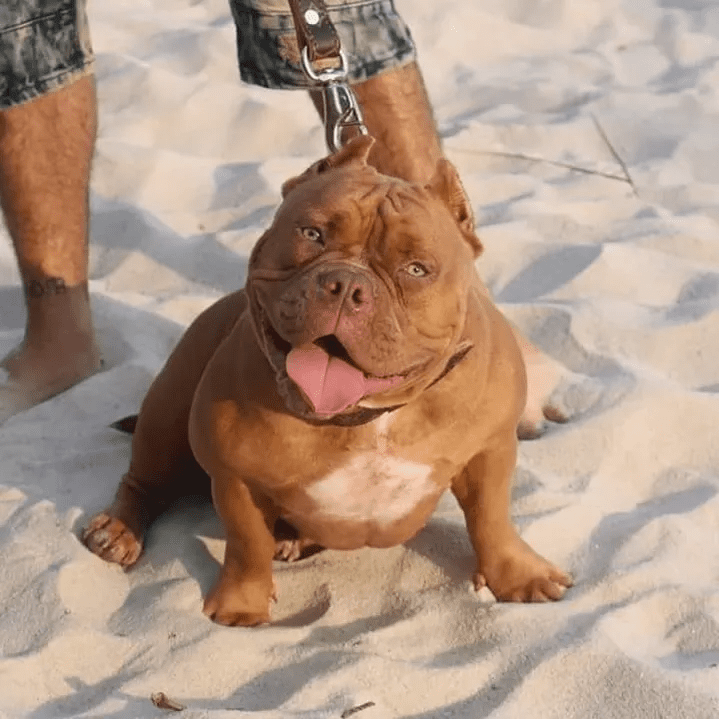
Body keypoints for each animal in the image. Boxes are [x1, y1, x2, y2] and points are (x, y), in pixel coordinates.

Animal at [81, 138, 572, 628]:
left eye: (417, 269)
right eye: (312, 234)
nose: (346, 284)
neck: (368, 416)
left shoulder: (491, 450)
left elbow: (491, 519)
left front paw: (518, 575)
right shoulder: (235, 477)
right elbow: (246, 544)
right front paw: (242, 604)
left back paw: (294, 539)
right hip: (168, 411)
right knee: (144, 479)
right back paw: (118, 532)